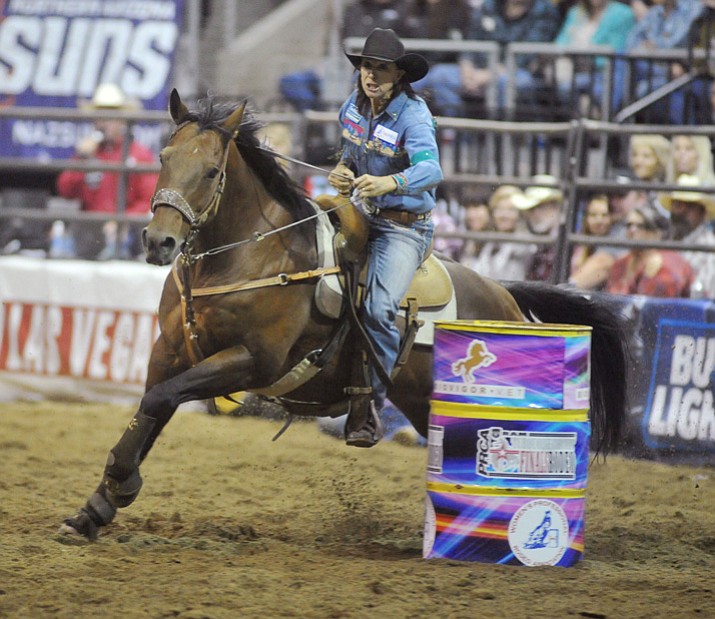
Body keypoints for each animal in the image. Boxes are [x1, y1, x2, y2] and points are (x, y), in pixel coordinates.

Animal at [63, 92, 632, 544]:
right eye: (163, 157)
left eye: (211, 172)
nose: (159, 242)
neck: (247, 256)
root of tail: (505, 295)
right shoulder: (171, 350)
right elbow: (152, 407)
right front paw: (97, 507)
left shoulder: (252, 360)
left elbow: (160, 400)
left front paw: (117, 486)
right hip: (419, 400)